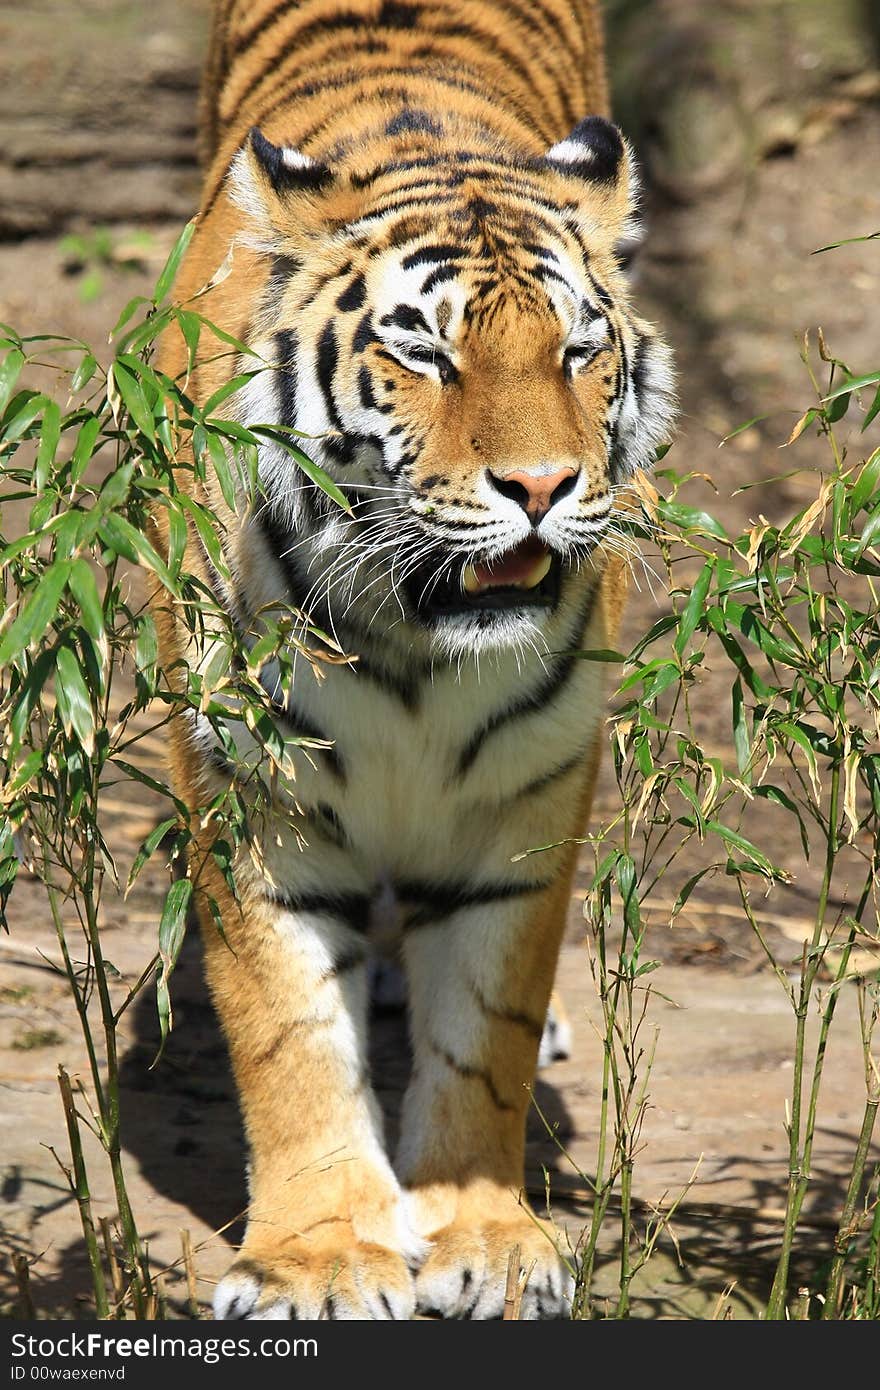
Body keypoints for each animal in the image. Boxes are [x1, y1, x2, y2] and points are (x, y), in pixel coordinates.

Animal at [152, 0, 672, 1323]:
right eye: (425, 355)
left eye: (577, 351)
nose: (541, 486)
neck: (416, 642)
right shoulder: (254, 797)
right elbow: (287, 1034)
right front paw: (324, 1258)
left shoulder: (527, 800)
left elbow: (484, 1027)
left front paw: (485, 1235)